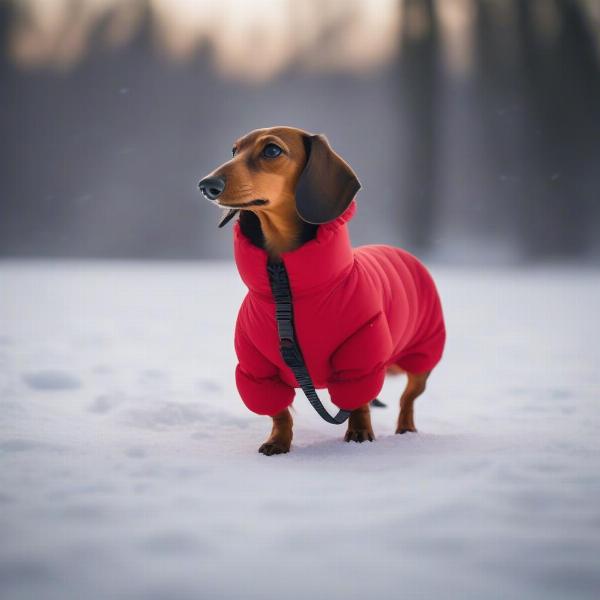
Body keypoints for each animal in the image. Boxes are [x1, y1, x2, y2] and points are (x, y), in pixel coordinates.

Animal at [199, 126, 442, 454]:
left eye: (272, 150)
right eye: (234, 150)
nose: (206, 185)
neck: (284, 284)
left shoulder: (360, 359)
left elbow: (358, 403)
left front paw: (359, 434)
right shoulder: (257, 369)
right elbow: (280, 413)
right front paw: (278, 442)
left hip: (422, 356)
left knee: (408, 399)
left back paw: (406, 429)